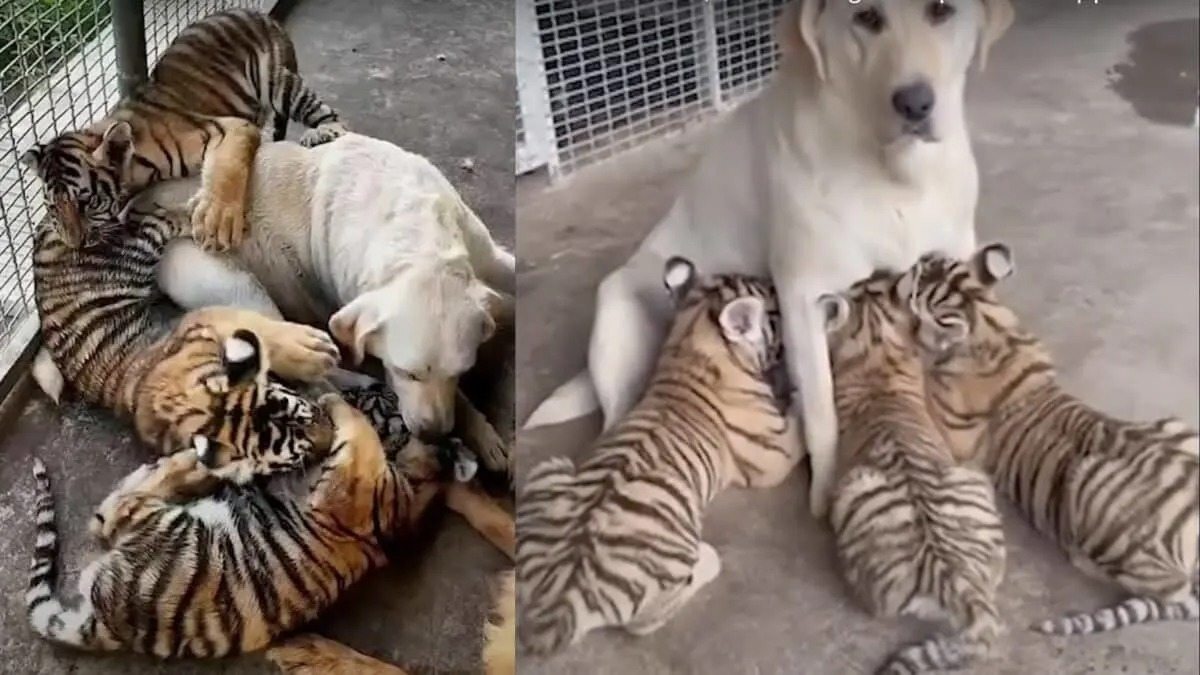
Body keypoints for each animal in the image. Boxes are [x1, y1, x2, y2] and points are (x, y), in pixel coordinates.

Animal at [525, 0, 1012, 516]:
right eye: (866, 18)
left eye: (942, 11)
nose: (915, 103)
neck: (897, 174)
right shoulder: (804, 295)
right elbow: (821, 410)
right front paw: (826, 493)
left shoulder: (954, 257)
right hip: (618, 317)